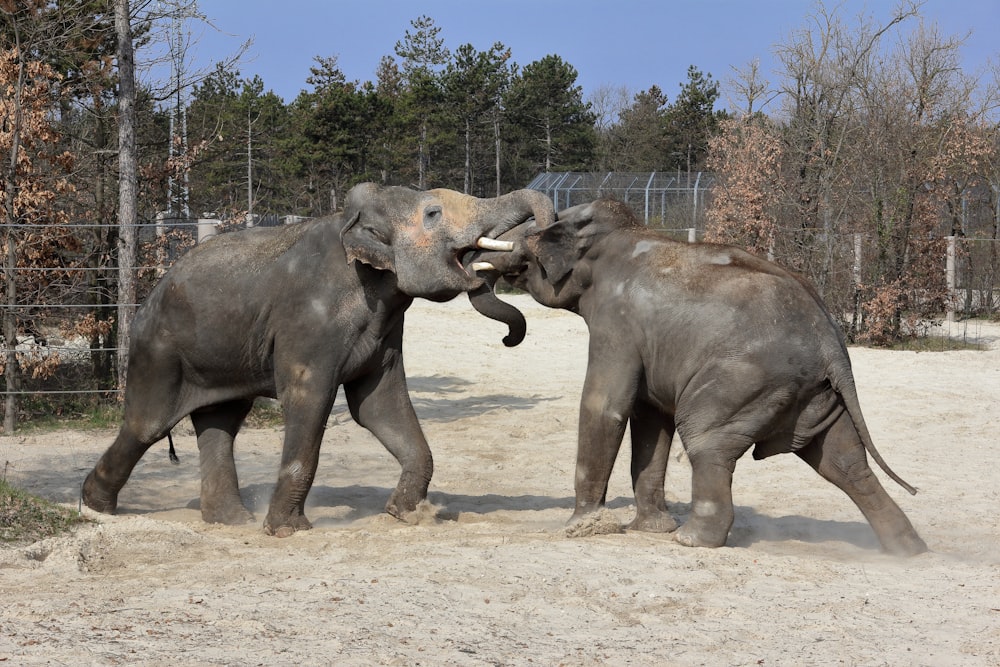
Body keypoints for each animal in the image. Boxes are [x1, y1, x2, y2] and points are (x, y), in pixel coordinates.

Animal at [83, 181, 556, 536]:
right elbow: (309, 402)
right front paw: (288, 531)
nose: (509, 340)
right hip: (159, 351)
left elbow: (378, 405)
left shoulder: (386, 328)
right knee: (147, 424)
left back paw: (231, 521)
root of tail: (150, 295)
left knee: (221, 423)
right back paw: (94, 506)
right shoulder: (309, 322)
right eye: (433, 213)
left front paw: (405, 515)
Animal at [468, 198, 928, 560]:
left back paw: (692, 541)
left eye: (527, 237)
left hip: (744, 381)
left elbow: (605, 406)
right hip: (815, 393)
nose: (507, 339)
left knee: (705, 437)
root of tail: (832, 342)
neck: (621, 233)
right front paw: (648, 530)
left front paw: (579, 528)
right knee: (843, 462)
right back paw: (909, 551)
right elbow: (650, 419)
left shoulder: (617, 322)